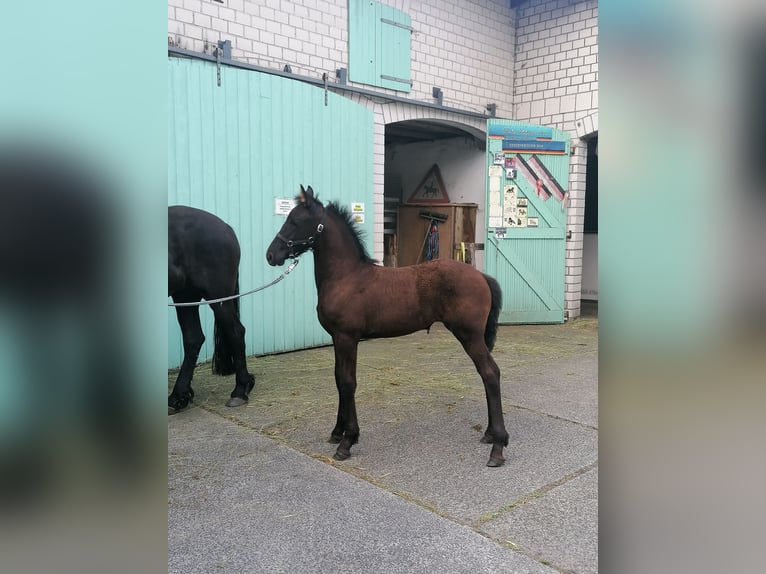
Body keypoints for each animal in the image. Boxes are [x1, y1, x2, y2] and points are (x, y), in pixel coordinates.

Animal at [168, 207, 255, 414]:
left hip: (218, 297)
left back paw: (240, 390)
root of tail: (226, 228)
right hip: (185, 295)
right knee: (193, 338)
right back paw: (178, 397)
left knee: (236, 332)